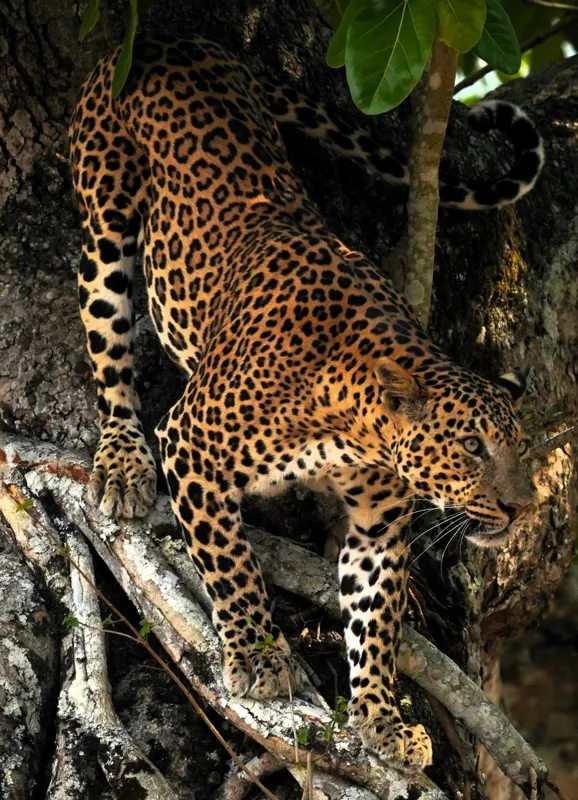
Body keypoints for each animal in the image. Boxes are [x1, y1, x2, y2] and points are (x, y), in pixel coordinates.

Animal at [69, 34, 541, 770]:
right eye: (473, 446)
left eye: (521, 450)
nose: (524, 509)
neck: (354, 421)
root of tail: (171, 39)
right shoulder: (191, 445)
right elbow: (230, 563)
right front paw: (256, 657)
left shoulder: (377, 525)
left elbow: (374, 622)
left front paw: (381, 718)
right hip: (105, 216)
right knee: (106, 342)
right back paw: (121, 463)